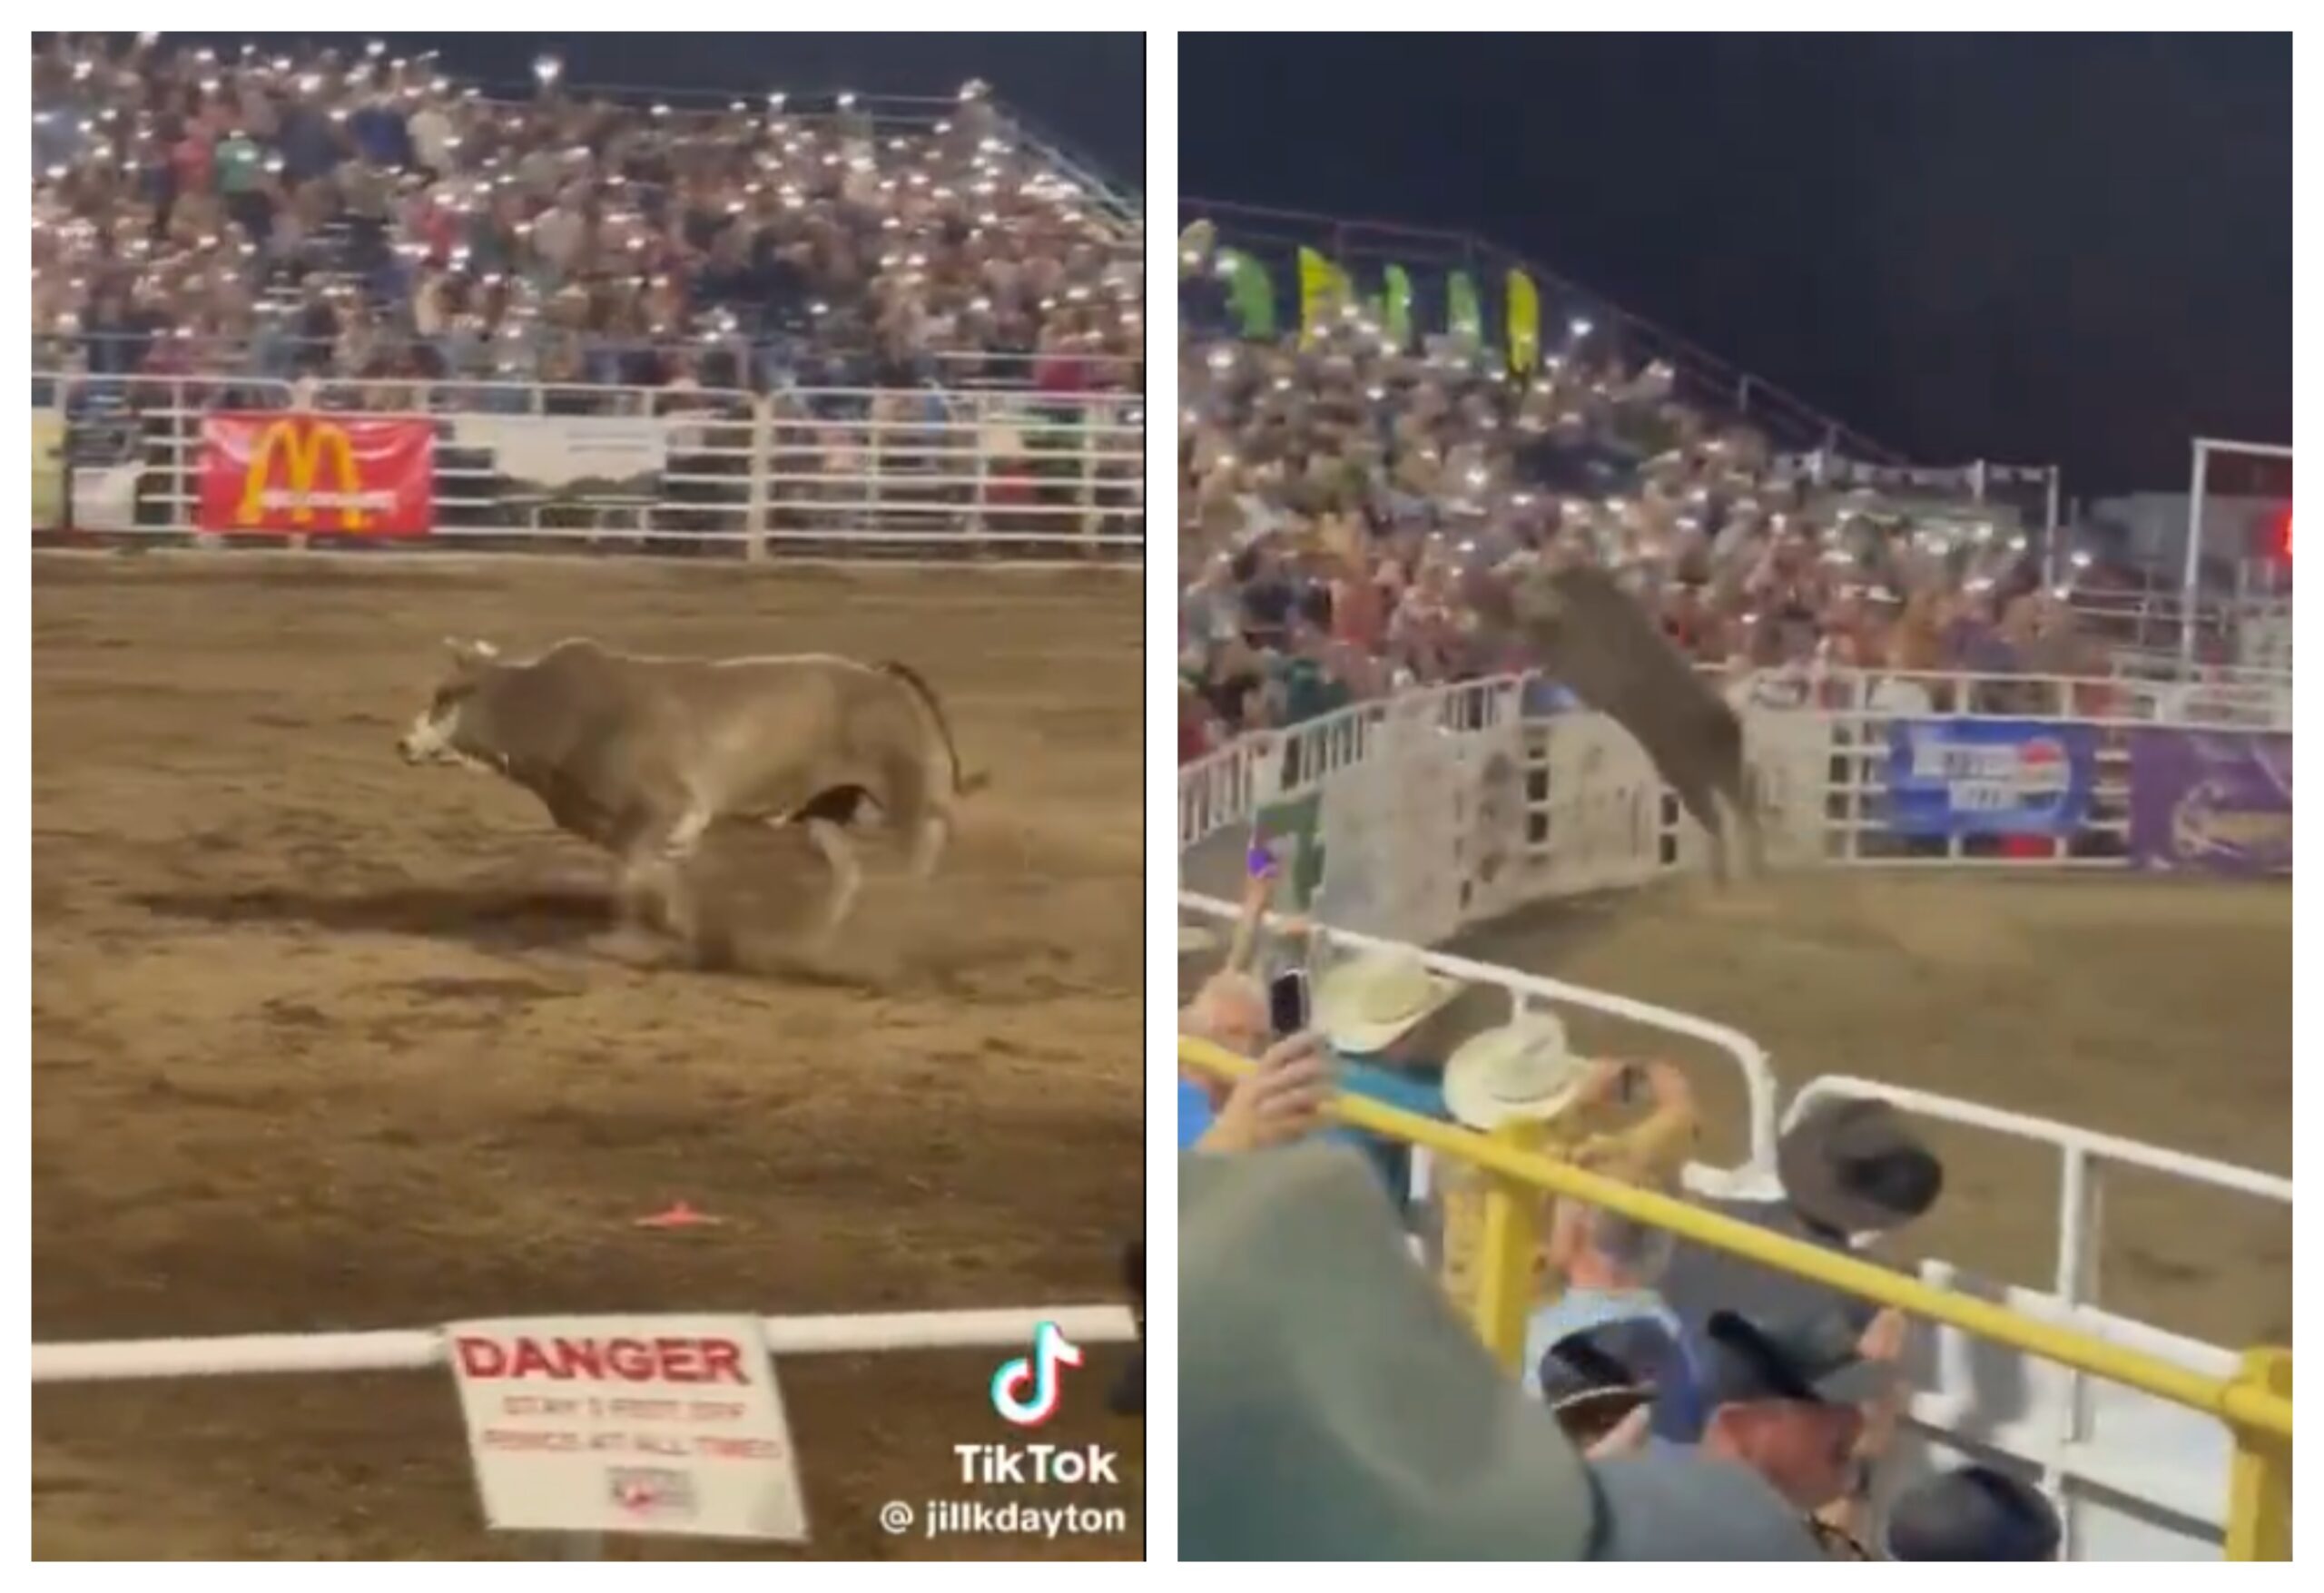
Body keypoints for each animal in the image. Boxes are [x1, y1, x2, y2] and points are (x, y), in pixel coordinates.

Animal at [399, 641, 980, 961]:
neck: (560, 711)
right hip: (826, 810)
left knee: (919, 855)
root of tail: (881, 677)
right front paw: (682, 927)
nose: (404, 744)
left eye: (444, 698)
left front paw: (627, 941)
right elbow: (651, 876)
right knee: (847, 874)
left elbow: (635, 876)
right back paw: (817, 941)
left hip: (906, 793)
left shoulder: (664, 810)